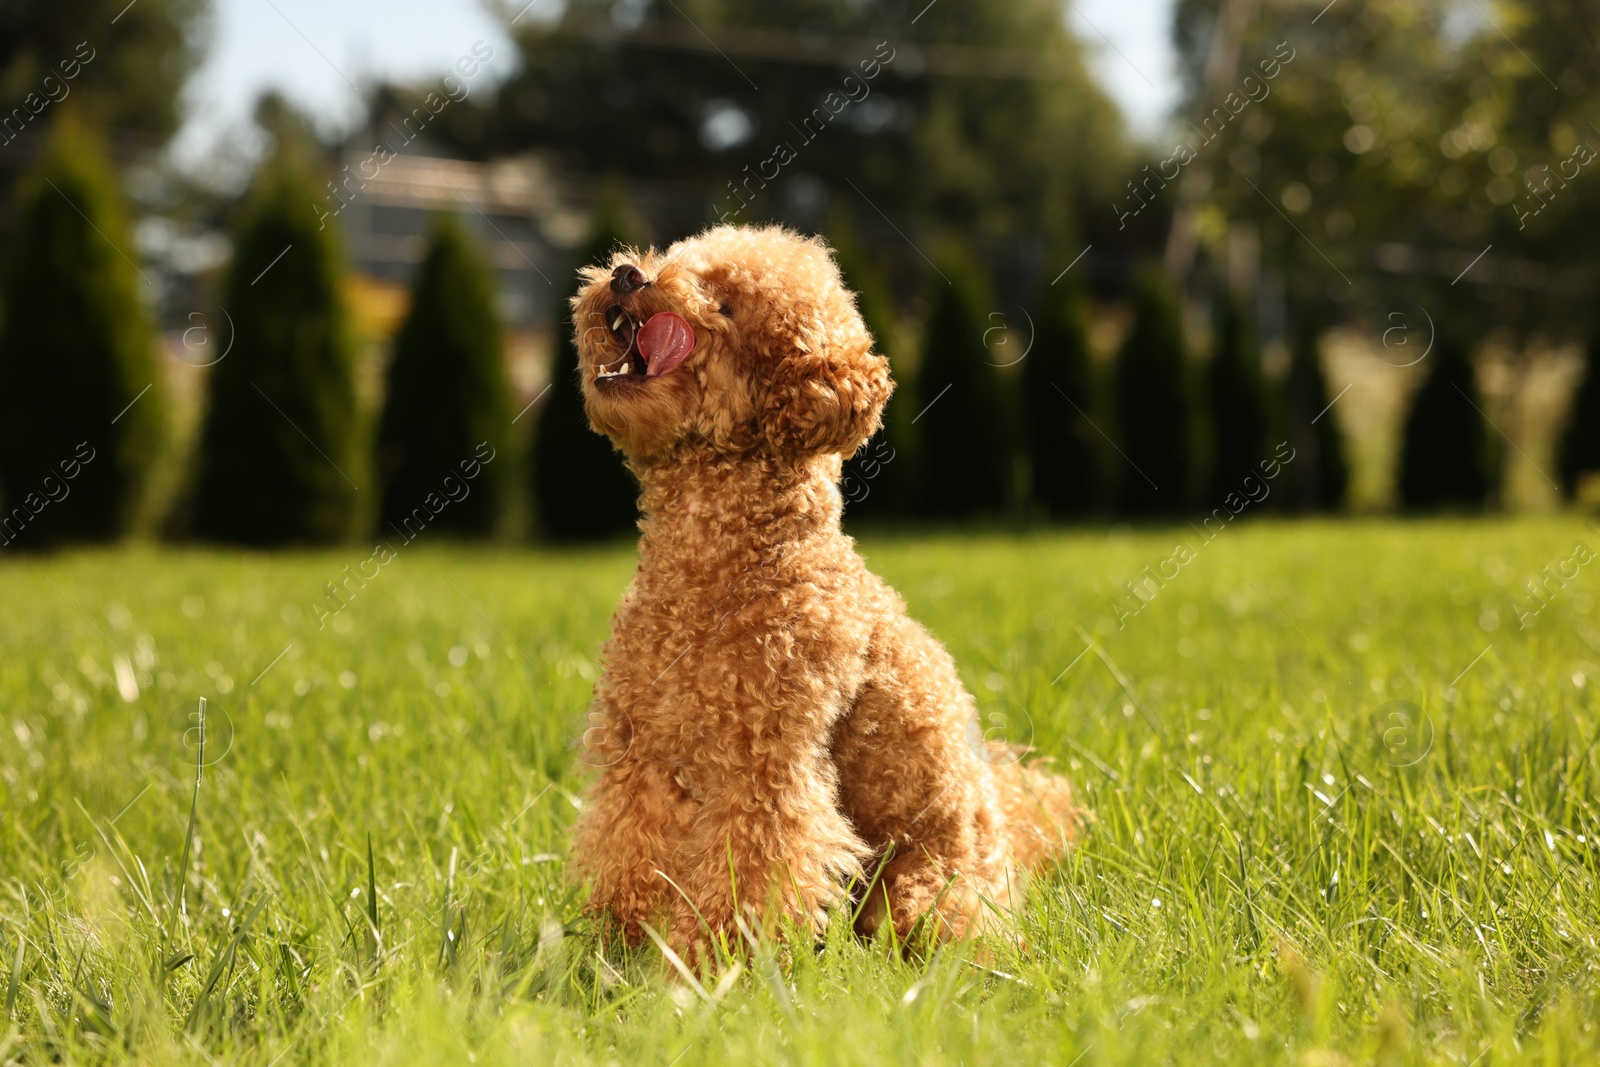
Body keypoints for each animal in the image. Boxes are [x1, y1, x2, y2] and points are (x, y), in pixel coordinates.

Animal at [563, 223, 1075, 953]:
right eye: (675, 259)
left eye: (726, 304)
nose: (629, 275)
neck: (708, 571)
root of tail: (1007, 840)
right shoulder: (645, 753)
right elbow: (633, 847)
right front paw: (624, 945)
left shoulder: (766, 766)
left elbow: (753, 865)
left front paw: (716, 959)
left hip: (926, 887)